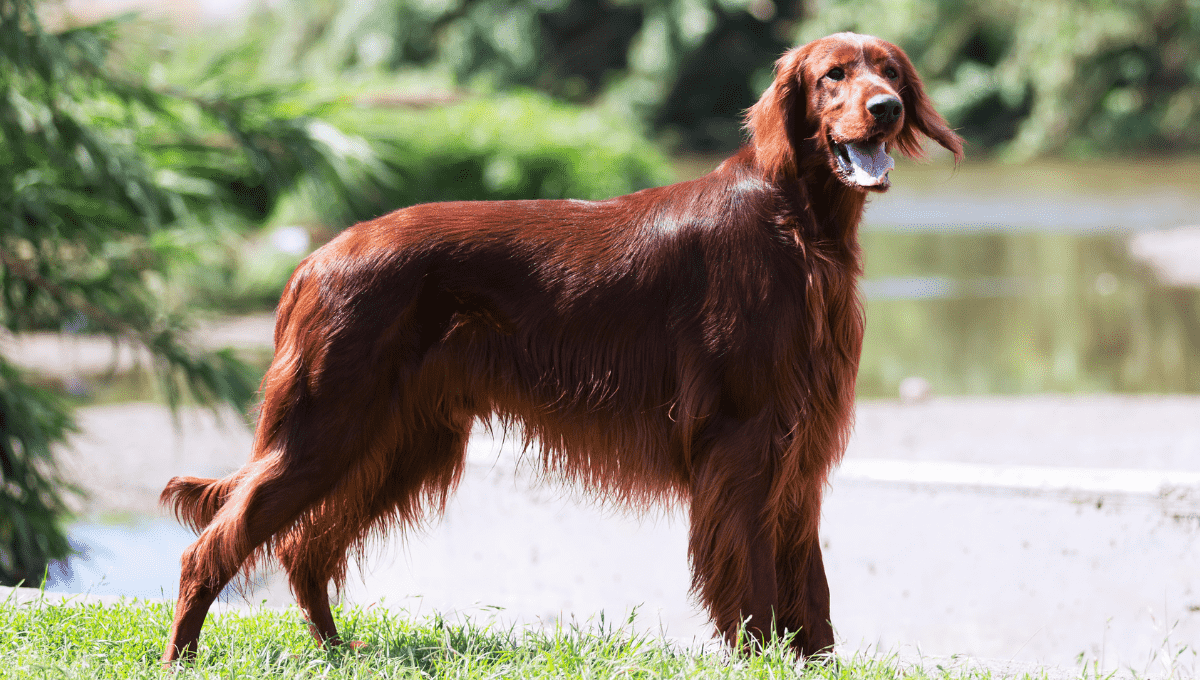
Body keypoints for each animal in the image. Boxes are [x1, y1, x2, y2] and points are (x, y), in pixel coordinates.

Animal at [162, 33, 964, 666]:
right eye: (833, 74)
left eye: (889, 72)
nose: (885, 109)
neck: (796, 224)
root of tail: (317, 256)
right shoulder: (744, 439)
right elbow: (757, 583)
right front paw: (760, 657)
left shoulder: (800, 448)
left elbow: (814, 593)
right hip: (326, 428)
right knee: (213, 545)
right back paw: (183, 658)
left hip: (398, 441)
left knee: (304, 549)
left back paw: (335, 650)